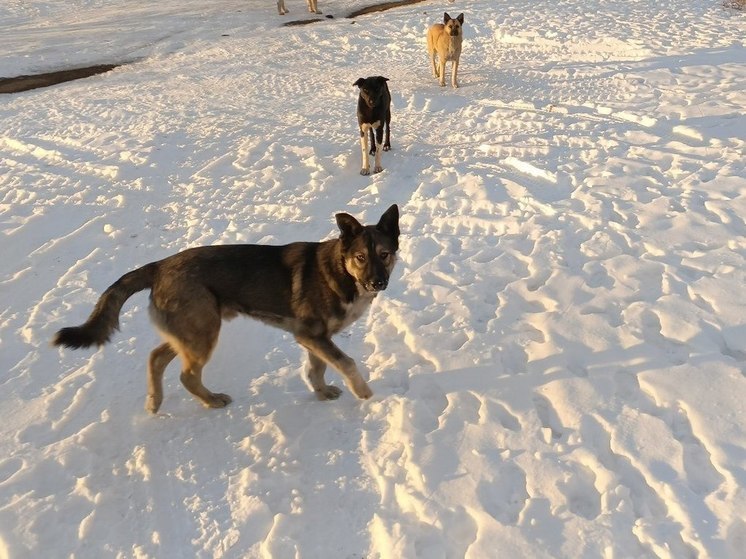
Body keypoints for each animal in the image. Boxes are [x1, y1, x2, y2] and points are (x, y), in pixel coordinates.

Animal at [53, 206, 398, 412]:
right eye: (361, 258)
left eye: (384, 254)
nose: (378, 283)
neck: (341, 272)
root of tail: (160, 266)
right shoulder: (312, 335)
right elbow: (347, 363)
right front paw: (365, 394)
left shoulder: (314, 338)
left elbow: (318, 368)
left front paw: (322, 392)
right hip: (203, 333)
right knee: (186, 376)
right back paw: (211, 399)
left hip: (192, 332)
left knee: (156, 357)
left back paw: (155, 400)